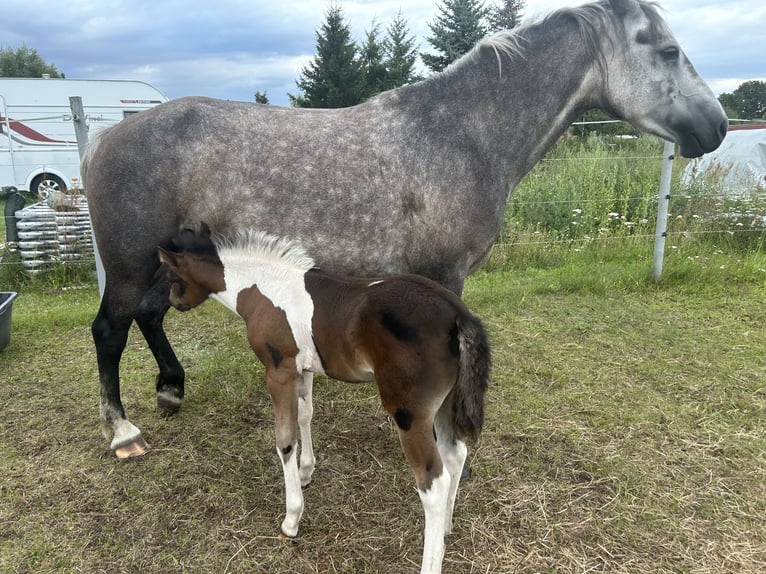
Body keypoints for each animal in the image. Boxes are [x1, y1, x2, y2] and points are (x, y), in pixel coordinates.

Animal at [85, 0, 732, 460]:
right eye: (669, 51)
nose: (718, 126)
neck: (460, 135)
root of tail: (103, 138)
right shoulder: (444, 275)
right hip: (129, 261)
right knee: (110, 331)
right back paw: (123, 433)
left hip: (169, 260)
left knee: (150, 315)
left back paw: (171, 389)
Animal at [159, 227, 492, 572]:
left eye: (171, 276)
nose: (174, 301)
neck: (264, 288)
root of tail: (457, 314)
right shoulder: (302, 369)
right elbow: (306, 415)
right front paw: (306, 472)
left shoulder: (278, 372)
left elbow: (284, 441)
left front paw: (292, 519)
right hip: (445, 403)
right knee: (456, 454)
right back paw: (447, 529)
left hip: (410, 414)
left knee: (433, 484)